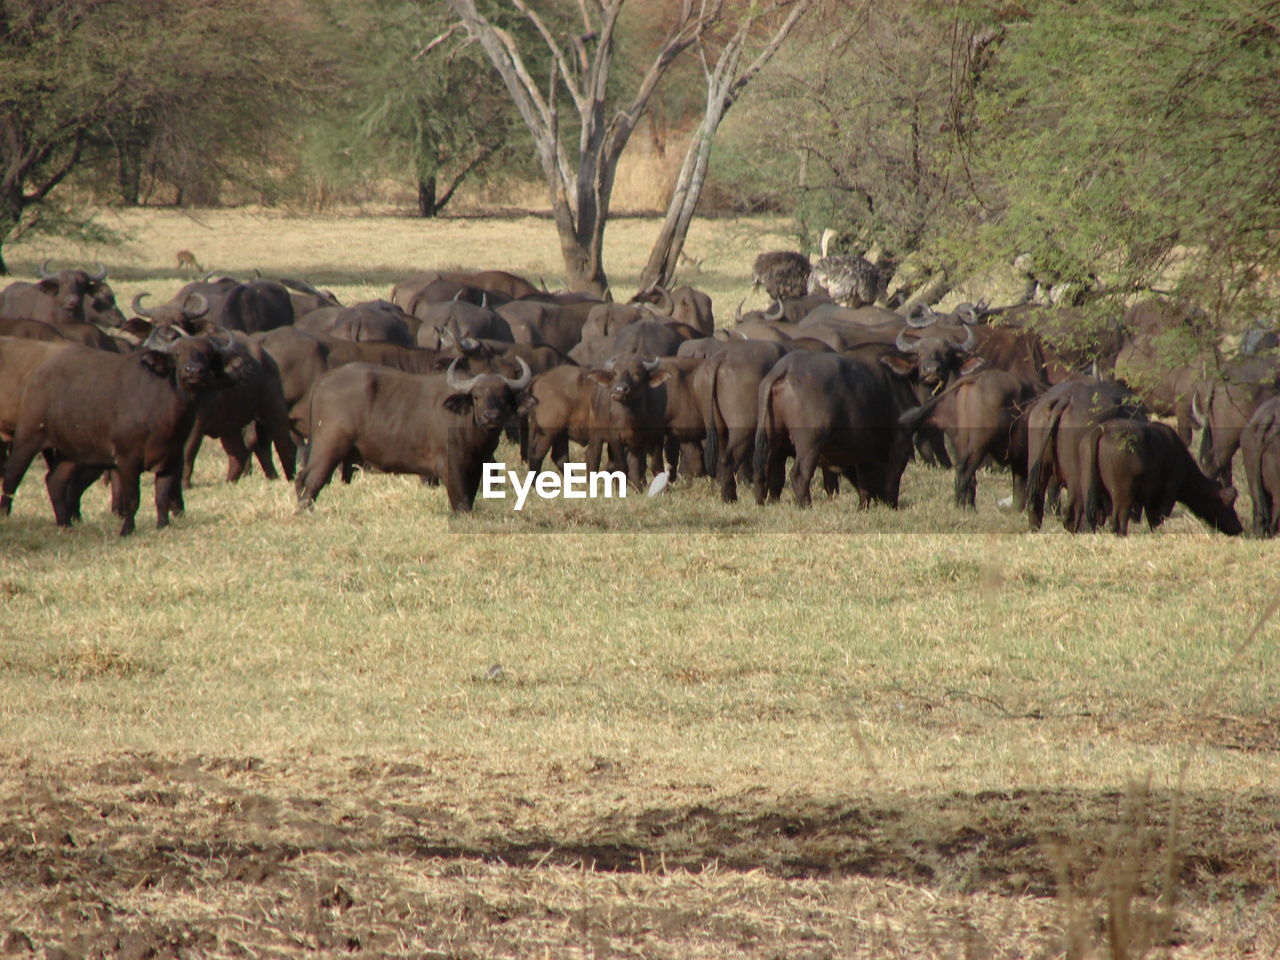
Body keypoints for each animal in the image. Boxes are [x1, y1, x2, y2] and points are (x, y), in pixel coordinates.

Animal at [0, 330, 243, 537]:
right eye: (177, 353)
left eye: (207, 355)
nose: (193, 371)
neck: (163, 410)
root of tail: (40, 372)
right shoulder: (127, 461)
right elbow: (132, 499)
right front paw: (127, 530)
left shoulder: (172, 459)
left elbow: (162, 496)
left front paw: (163, 526)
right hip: (28, 438)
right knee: (12, 476)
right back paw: (6, 516)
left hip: (71, 452)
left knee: (54, 481)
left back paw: (65, 524)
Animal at [296, 358, 532, 514]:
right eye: (476, 396)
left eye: (503, 396)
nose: (491, 416)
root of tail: (324, 379)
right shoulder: (451, 467)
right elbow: (461, 502)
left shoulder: (476, 467)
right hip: (328, 447)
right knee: (311, 479)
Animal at [1080, 422, 1239, 542]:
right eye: (1227, 503)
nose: (1238, 528)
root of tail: (1104, 430)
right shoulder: (1168, 494)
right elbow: (1158, 518)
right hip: (1123, 494)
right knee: (1120, 517)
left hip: (1096, 492)